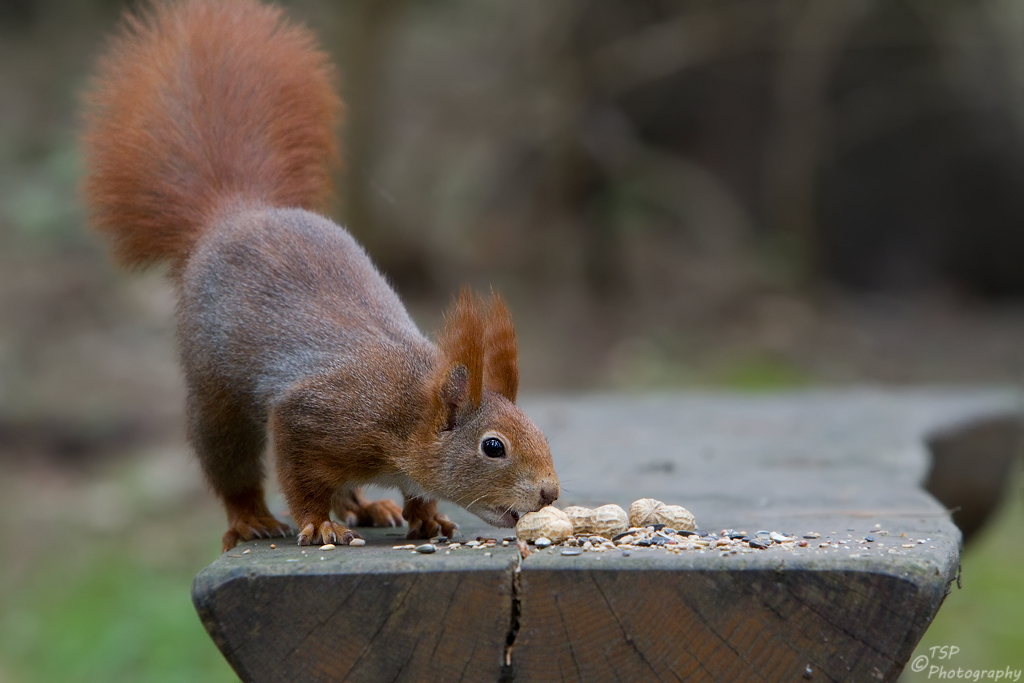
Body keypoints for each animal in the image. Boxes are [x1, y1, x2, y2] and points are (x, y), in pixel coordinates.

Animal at [79, 0, 561, 548]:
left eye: (539, 431)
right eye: (493, 447)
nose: (549, 493)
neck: (408, 409)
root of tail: (235, 211)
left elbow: (412, 490)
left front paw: (427, 516)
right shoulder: (313, 416)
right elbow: (300, 478)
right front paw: (317, 522)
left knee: (344, 485)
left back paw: (368, 506)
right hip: (216, 391)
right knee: (231, 465)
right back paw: (251, 518)